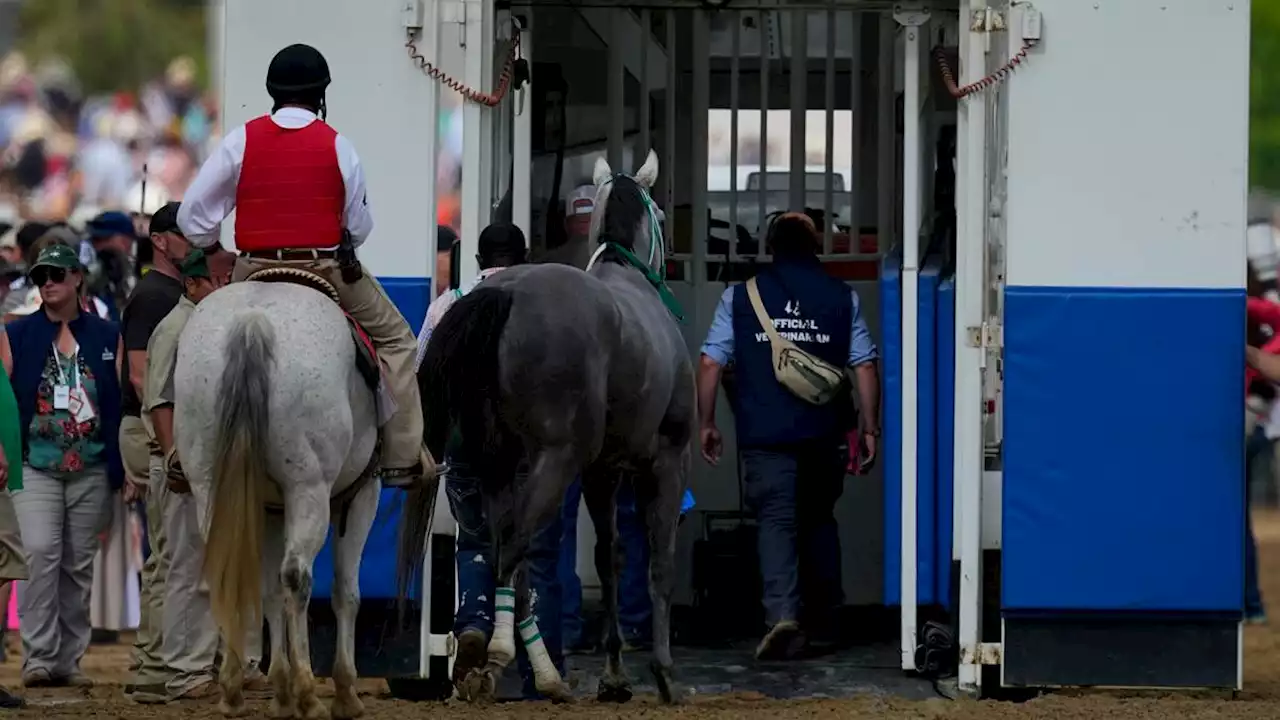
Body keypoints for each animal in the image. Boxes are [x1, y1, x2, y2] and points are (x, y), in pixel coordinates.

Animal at [172, 280, 396, 717]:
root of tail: (252, 321)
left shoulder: (271, 509)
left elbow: (270, 591)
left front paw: (279, 689)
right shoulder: (361, 495)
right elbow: (346, 592)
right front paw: (344, 692)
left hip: (210, 487)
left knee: (232, 570)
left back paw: (233, 690)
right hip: (308, 489)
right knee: (297, 576)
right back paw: (308, 693)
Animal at [399, 151, 696, 702]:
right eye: (663, 217)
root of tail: (506, 294)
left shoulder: (603, 471)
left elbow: (609, 557)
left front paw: (615, 674)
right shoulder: (667, 460)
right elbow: (659, 562)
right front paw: (663, 673)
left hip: (495, 465)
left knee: (498, 550)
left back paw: (512, 664)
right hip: (554, 461)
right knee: (518, 544)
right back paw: (501, 659)